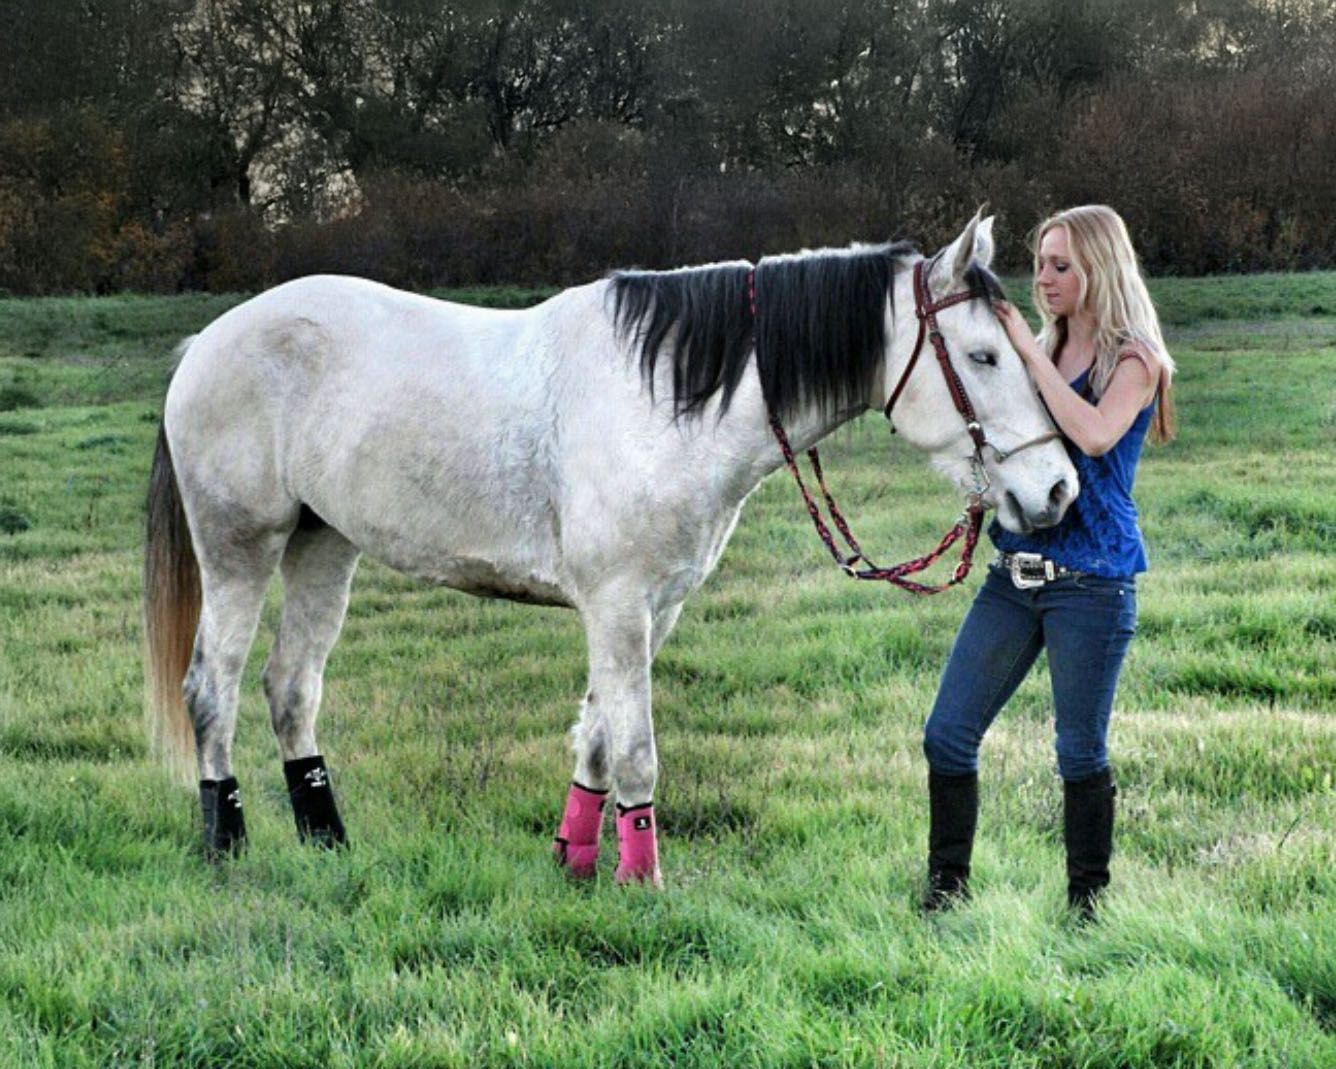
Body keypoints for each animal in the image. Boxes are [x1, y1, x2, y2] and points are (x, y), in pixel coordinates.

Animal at [143, 212, 1077, 882]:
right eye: (983, 355)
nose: (1059, 489)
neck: (665, 399)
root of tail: (204, 344)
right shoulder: (618, 604)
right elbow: (634, 748)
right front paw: (641, 881)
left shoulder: (652, 608)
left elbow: (595, 736)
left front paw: (577, 861)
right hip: (240, 549)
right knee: (212, 688)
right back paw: (225, 842)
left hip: (323, 546)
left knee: (291, 688)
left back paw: (328, 841)